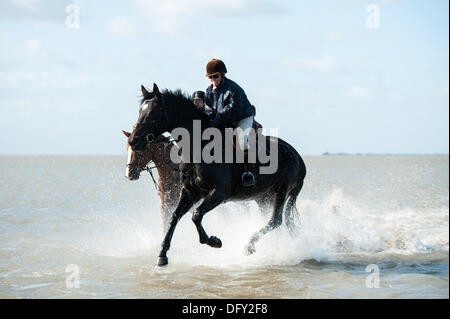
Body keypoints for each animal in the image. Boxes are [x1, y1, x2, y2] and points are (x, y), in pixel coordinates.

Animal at [128, 84, 308, 266]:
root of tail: (298, 157)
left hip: (282, 191)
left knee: (275, 221)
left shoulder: (219, 193)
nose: (133, 141)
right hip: (263, 197)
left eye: (152, 113)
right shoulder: (190, 192)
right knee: (275, 222)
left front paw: (214, 241)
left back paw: (249, 245)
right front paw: (162, 255)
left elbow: (196, 216)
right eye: (140, 111)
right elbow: (174, 217)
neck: (199, 146)